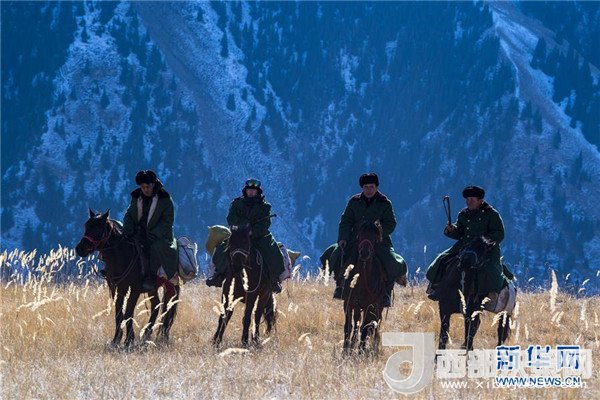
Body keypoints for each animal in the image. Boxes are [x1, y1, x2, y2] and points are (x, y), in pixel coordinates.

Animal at [75, 209, 180, 349]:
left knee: (168, 306)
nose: (80, 249)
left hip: (171, 286)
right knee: (156, 304)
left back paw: (162, 335)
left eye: (98, 228)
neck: (122, 255)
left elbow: (129, 311)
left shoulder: (134, 289)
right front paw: (116, 339)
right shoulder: (117, 289)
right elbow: (119, 312)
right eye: (86, 226)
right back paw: (147, 334)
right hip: (153, 288)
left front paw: (129, 340)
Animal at [342, 220, 386, 356]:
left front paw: (360, 350)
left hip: (378, 307)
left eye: (375, 238)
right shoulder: (349, 303)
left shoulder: (369, 306)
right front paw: (346, 349)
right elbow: (349, 326)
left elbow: (365, 328)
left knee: (374, 324)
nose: (365, 253)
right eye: (360, 234)